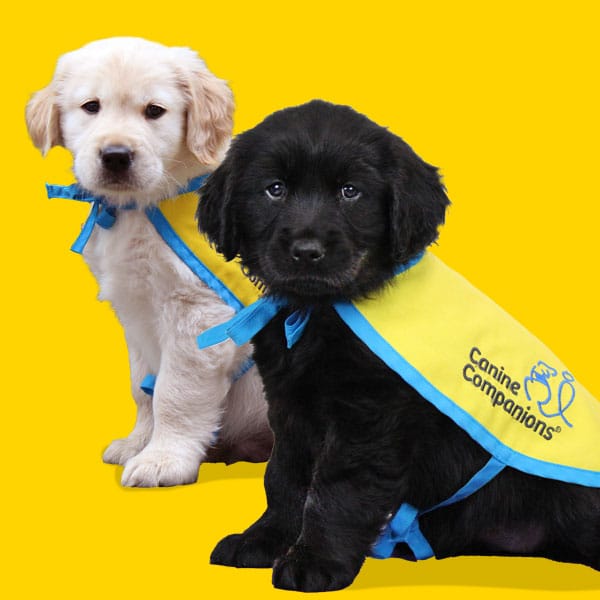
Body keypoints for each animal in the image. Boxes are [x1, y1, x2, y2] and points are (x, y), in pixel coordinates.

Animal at [27, 37, 272, 488]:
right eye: (91, 106)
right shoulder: (135, 313)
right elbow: (144, 388)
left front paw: (163, 460)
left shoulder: (197, 315)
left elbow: (174, 394)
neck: (140, 208)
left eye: (154, 111)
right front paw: (139, 443)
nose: (116, 155)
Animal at [198, 99, 600, 592]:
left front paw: (315, 561)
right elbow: (285, 475)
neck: (320, 311)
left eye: (350, 192)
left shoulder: (367, 416)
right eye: (274, 190)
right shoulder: (289, 405)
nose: (307, 250)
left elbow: (336, 488)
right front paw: (264, 539)